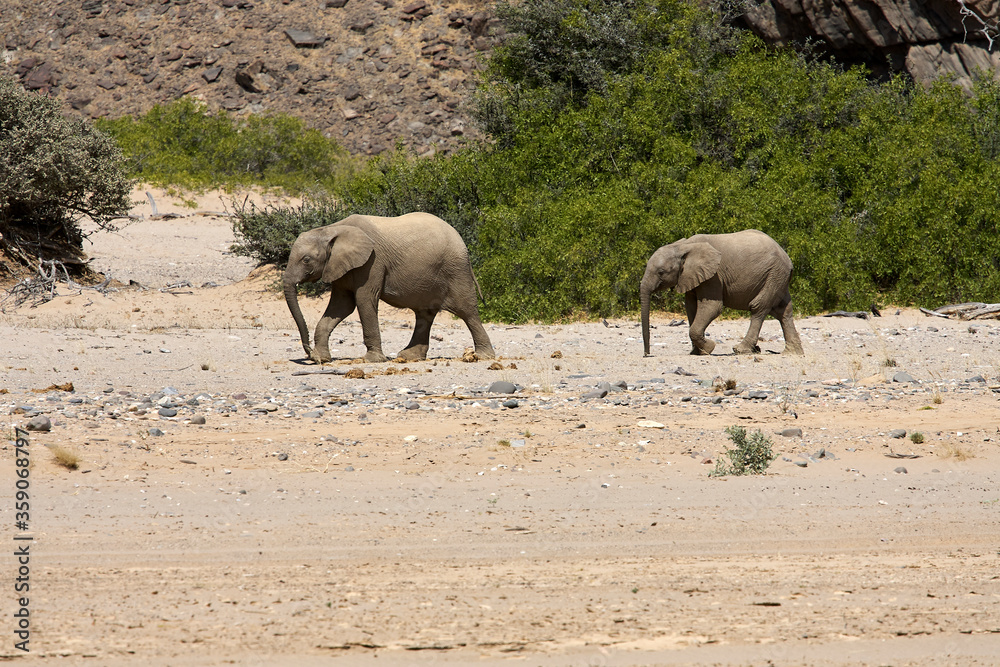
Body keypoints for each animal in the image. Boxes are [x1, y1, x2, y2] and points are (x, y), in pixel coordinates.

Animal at [283, 212, 496, 364]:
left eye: (306, 260)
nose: (308, 353)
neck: (332, 229)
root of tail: (460, 239)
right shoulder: (341, 267)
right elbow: (341, 307)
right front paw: (321, 358)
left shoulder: (372, 263)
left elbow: (364, 301)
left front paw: (372, 360)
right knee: (424, 314)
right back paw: (409, 357)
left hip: (456, 269)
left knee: (467, 311)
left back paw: (484, 357)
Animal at [640, 229, 804, 356]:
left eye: (661, 272)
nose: (647, 354)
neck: (683, 246)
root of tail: (786, 256)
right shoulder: (691, 276)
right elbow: (691, 308)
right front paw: (697, 352)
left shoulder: (714, 276)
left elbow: (712, 307)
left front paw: (709, 348)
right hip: (778, 278)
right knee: (784, 311)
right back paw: (792, 353)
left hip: (774, 275)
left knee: (759, 307)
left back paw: (740, 350)